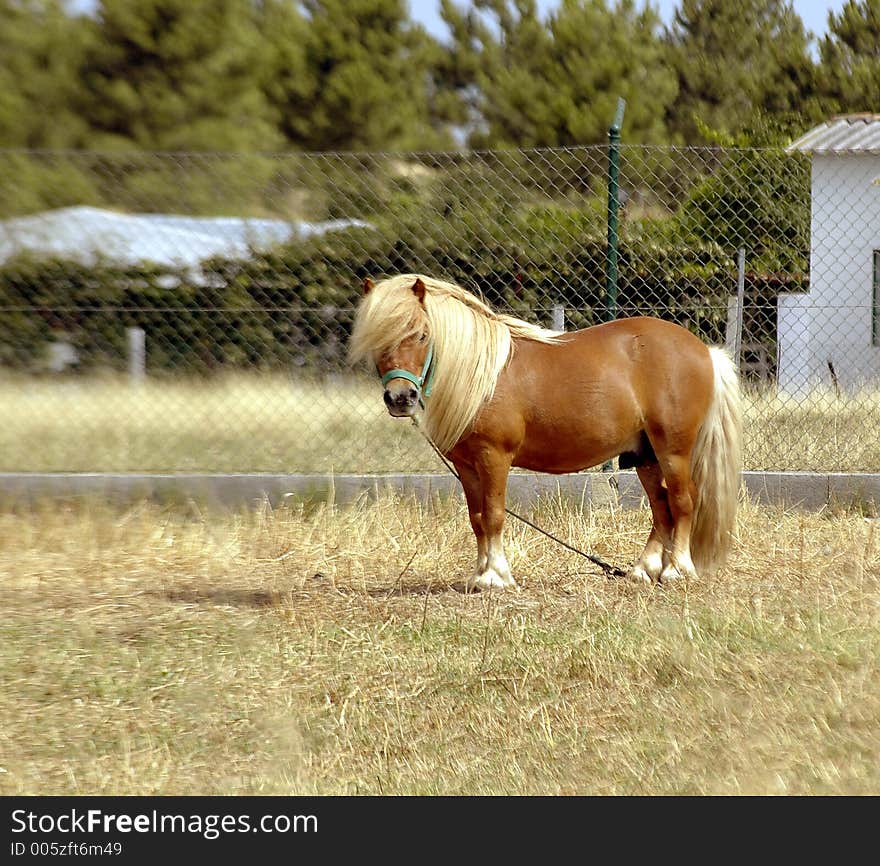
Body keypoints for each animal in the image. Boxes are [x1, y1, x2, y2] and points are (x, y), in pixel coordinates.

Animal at [348, 274, 740, 592]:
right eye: (376, 339)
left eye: (421, 334)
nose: (400, 398)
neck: (483, 376)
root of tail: (704, 350)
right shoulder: (466, 466)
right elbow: (477, 519)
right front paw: (479, 575)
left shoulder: (494, 458)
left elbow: (494, 514)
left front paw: (497, 577)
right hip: (645, 455)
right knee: (661, 507)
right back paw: (643, 570)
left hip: (673, 450)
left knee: (683, 501)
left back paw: (677, 571)